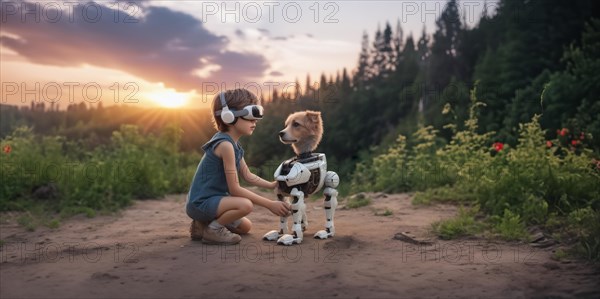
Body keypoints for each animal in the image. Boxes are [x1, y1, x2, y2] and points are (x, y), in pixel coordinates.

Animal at [262, 111, 338, 245]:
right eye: (286, 125)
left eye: (296, 124)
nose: (281, 133)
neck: (303, 156)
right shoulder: (281, 189)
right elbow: (282, 206)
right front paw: (280, 233)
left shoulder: (297, 187)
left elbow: (296, 206)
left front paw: (294, 236)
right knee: (301, 205)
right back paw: (303, 226)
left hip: (329, 180)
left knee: (329, 193)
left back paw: (328, 231)